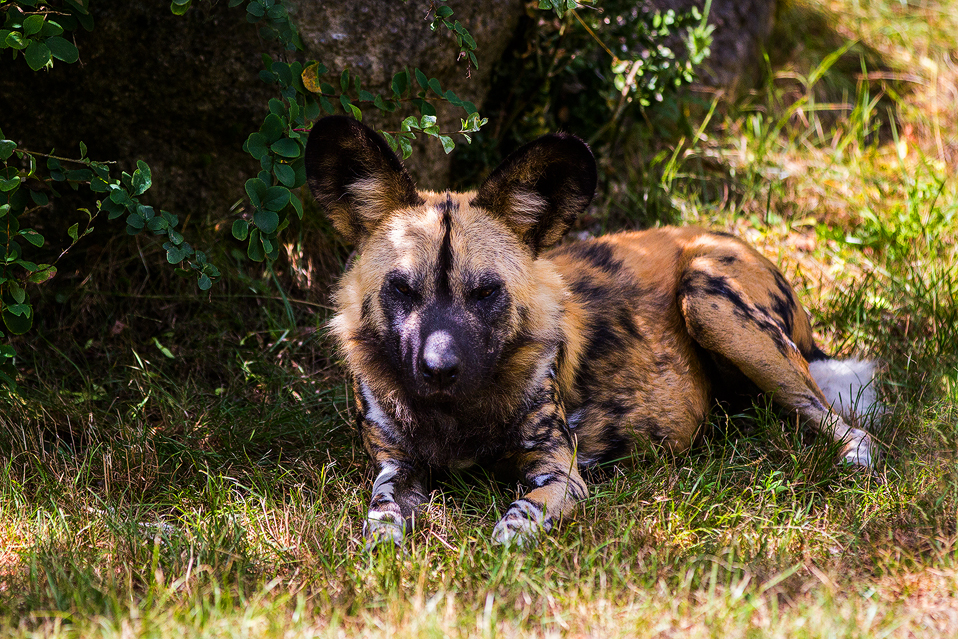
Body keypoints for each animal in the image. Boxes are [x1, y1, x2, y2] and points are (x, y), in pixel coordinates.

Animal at [304, 117, 880, 548]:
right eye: (402, 288)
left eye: (485, 292)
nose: (439, 369)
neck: (453, 414)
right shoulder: (394, 467)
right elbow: (381, 517)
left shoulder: (560, 472)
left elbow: (521, 516)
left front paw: (501, 549)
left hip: (708, 298)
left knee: (839, 420)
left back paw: (856, 460)